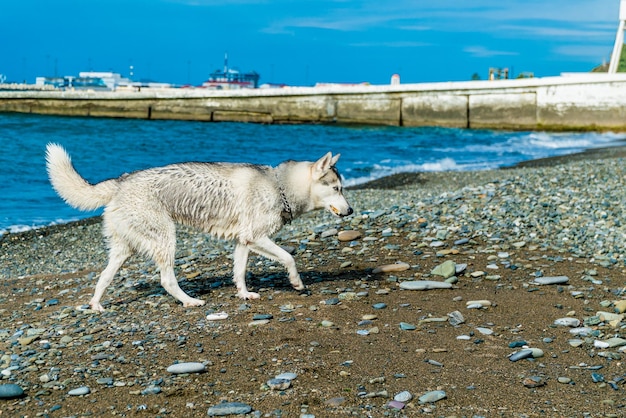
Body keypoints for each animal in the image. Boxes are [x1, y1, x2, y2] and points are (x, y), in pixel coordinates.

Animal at [46, 144, 354, 310]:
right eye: (337, 189)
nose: (351, 210)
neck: (280, 186)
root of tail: (121, 181)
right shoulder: (257, 237)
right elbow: (289, 258)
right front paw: (297, 283)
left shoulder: (244, 242)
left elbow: (240, 272)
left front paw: (244, 294)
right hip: (165, 238)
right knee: (167, 280)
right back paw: (189, 301)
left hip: (124, 250)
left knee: (103, 278)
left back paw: (96, 305)